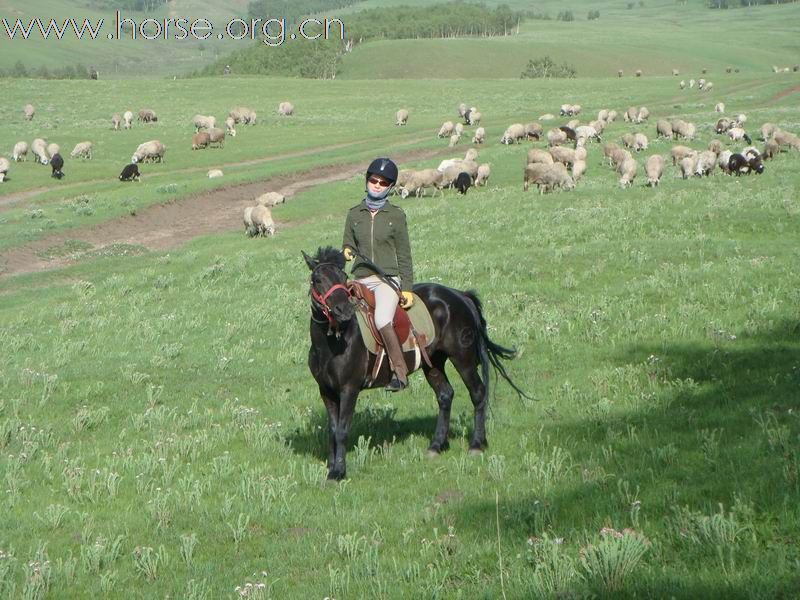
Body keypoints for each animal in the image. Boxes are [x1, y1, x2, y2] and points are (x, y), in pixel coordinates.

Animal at [304, 246, 528, 480]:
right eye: (317, 280)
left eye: (343, 277)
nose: (344, 311)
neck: (332, 342)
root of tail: (459, 295)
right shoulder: (327, 391)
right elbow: (332, 430)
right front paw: (331, 467)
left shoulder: (349, 389)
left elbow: (341, 430)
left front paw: (338, 472)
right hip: (433, 364)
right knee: (445, 395)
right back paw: (437, 445)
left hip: (463, 360)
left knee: (478, 393)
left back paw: (476, 444)